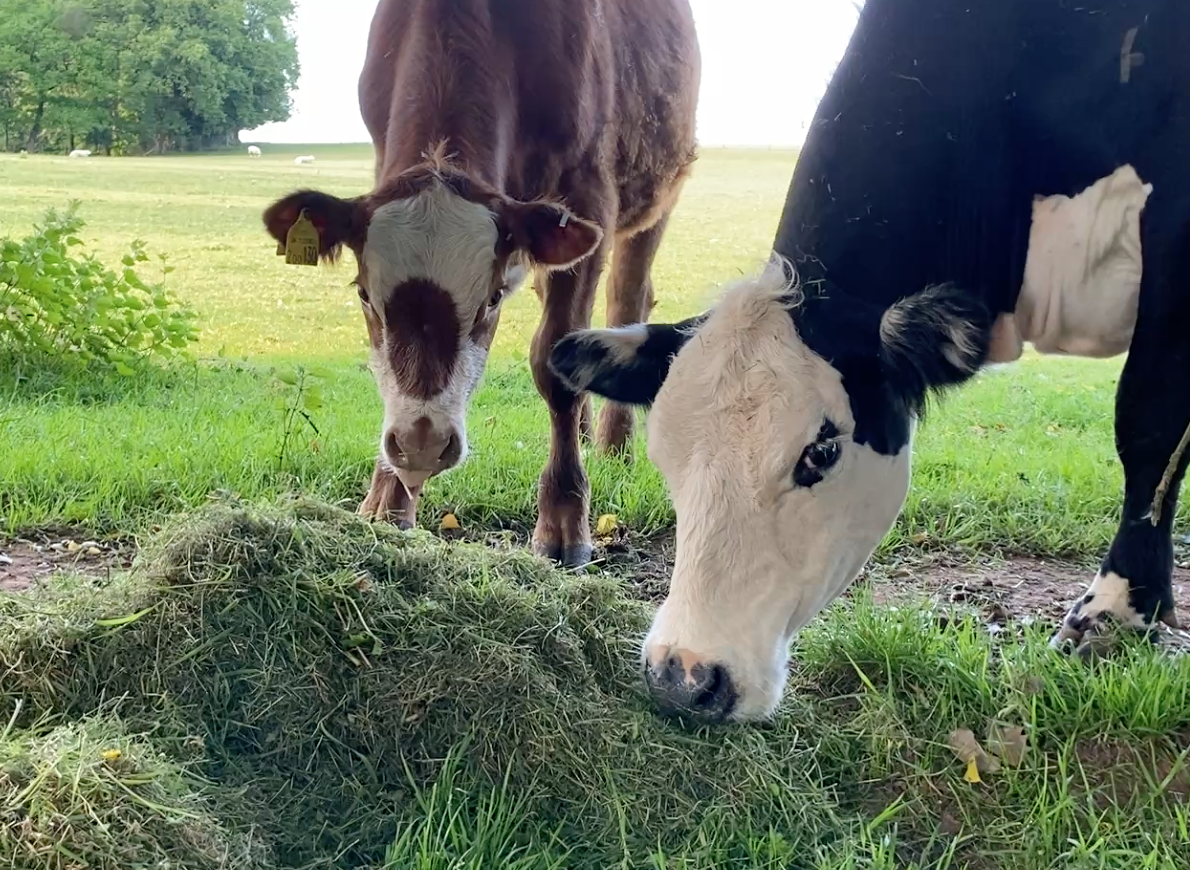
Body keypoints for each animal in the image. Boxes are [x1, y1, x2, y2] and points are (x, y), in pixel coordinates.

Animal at [262, 0, 700, 566]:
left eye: (491, 299)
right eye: (364, 295)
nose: (422, 443)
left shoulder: (588, 193)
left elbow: (553, 362)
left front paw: (564, 518)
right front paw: (387, 499)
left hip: (655, 198)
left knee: (628, 297)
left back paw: (611, 445)